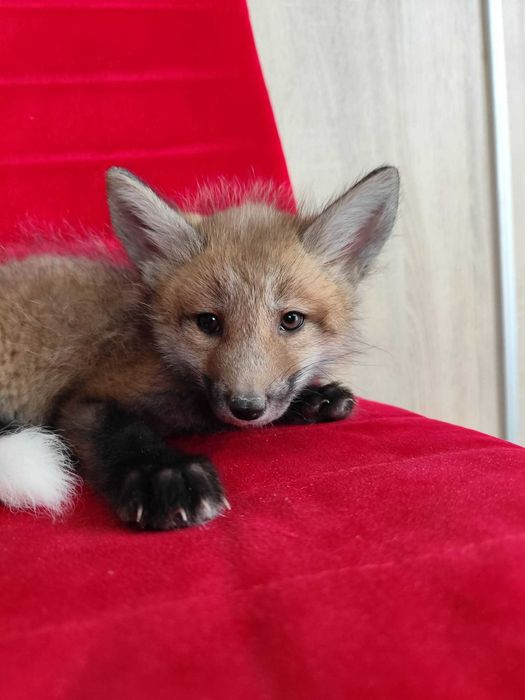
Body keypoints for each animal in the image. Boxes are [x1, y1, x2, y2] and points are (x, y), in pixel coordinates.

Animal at [0, 165, 399, 530]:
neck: (153, 344)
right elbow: (124, 434)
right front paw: (164, 475)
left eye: (291, 320)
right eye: (208, 322)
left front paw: (316, 398)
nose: (246, 408)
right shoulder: (86, 399)